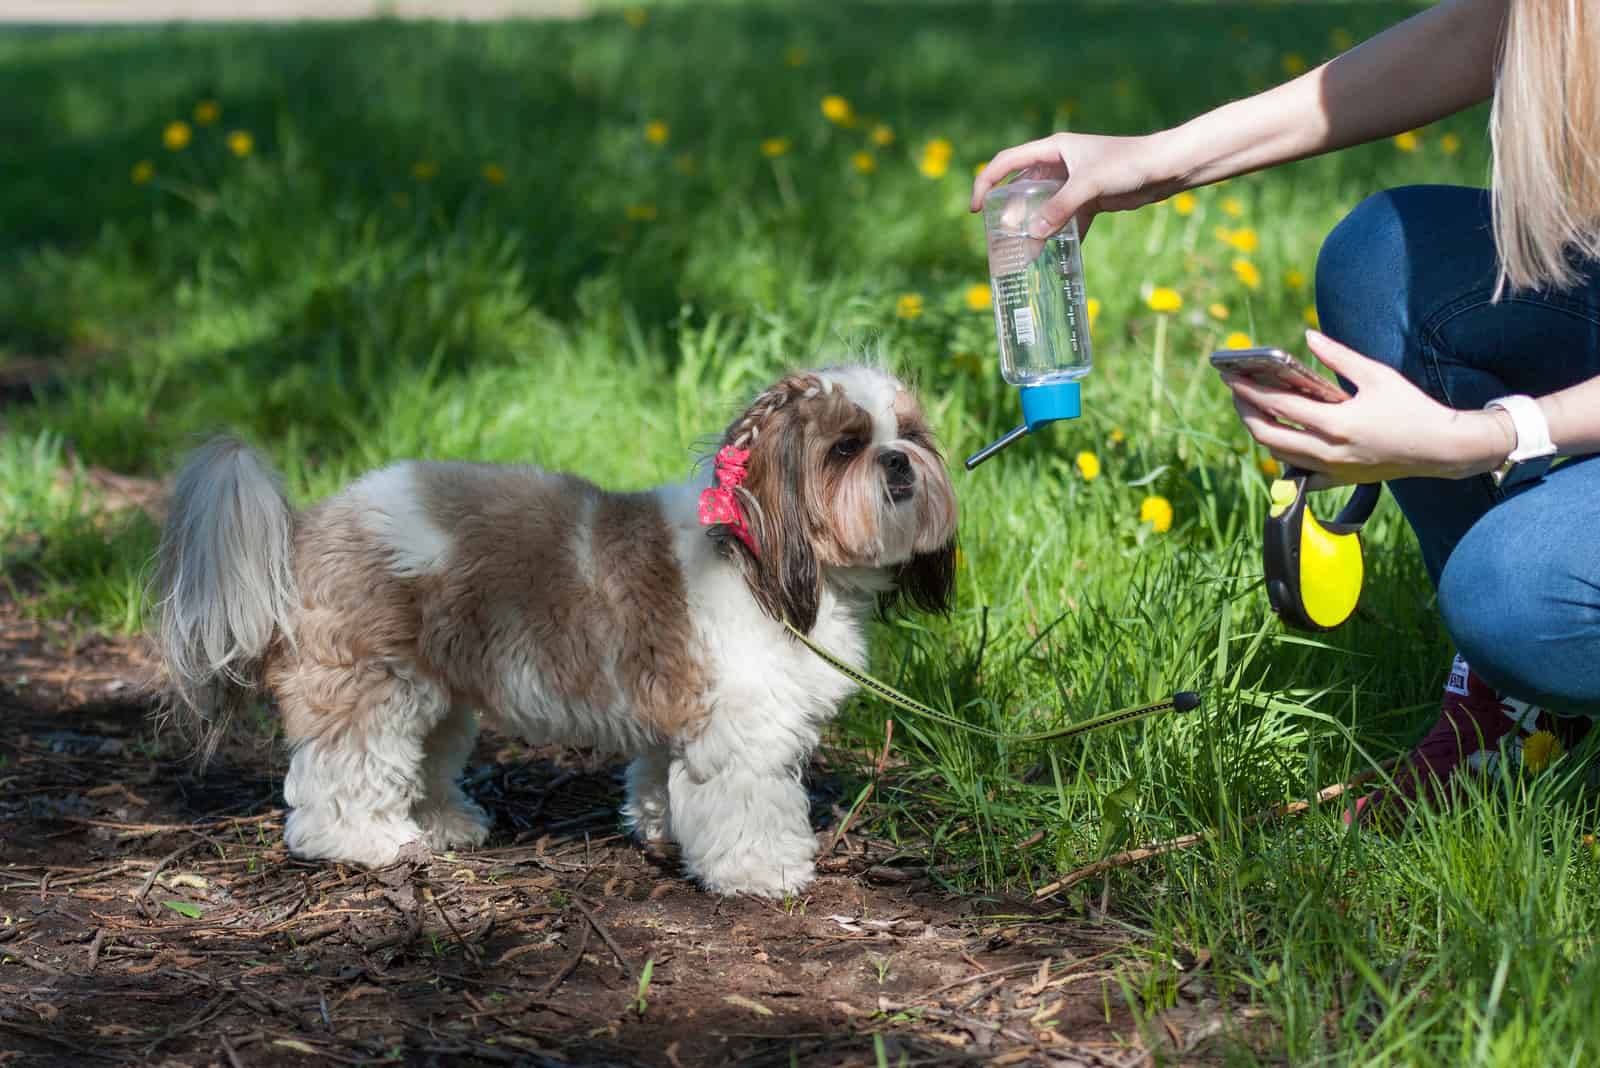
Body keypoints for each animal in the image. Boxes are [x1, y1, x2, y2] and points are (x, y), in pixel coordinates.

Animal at [150, 362, 953, 895]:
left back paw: (445, 823)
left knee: (422, 761)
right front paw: (768, 870)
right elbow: (751, 807)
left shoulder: (681, 720)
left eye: (911, 434)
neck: (757, 552)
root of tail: (305, 531)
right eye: (846, 447)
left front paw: (662, 830)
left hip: (436, 695)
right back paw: (367, 842)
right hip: (371, 686)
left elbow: (659, 776)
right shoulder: (743, 733)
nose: (899, 462)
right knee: (343, 774)